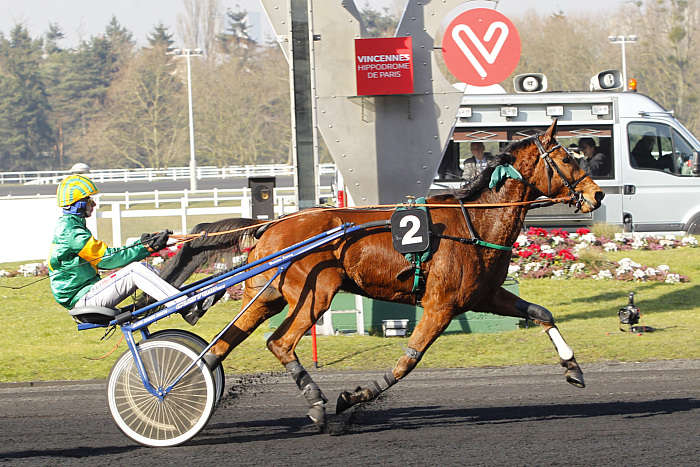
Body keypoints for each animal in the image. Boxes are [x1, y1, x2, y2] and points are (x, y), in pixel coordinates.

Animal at [158, 120, 604, 429]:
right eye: (567, 159)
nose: (597, 194)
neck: (475, 223)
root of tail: (274, 223)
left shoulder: (484, 296)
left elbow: (541, 313)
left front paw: (573, 368)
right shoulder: (441, 305)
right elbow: (408, 360)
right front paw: (356, 395)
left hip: (268, 295)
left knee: (221, 345)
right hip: (315, 293)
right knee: (279, 342)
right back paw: (314, 403)